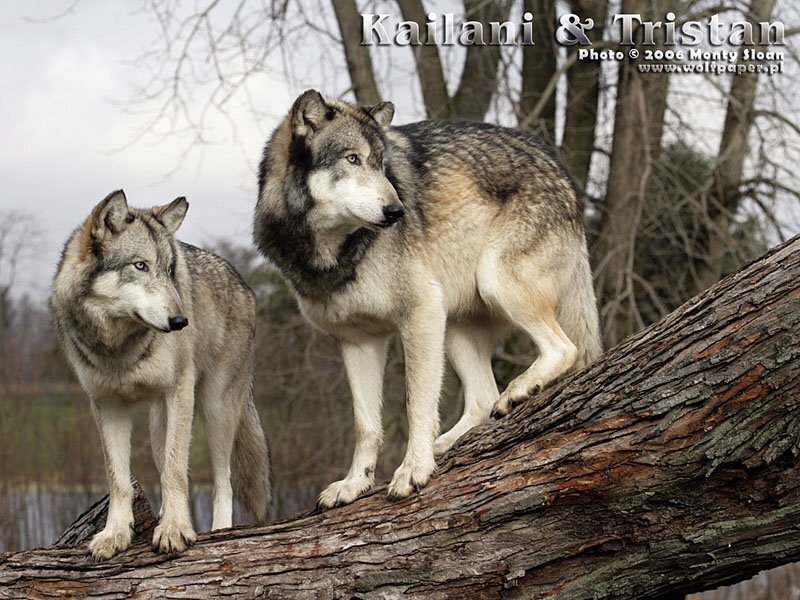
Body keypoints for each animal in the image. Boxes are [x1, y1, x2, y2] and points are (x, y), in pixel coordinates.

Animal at [51, 190, 271, 559]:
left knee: (222, 479)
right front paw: (115, 534)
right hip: (158, 427)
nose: (182, 321)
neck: (119, 349)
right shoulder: (106, 405)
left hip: (215, 409)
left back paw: (218, 532)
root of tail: (242, 281)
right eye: (140, 266)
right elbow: (118, 478)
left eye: (170, 270)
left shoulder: (179, 392)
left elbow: (175, 472)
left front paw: (175, 530)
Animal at [254, 90, 602, 508]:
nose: (397, 211)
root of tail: (562, 171)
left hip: (492, 283)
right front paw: (355, 484)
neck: (331, 253)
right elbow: (365, 424)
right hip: (453, 326)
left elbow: (415, 402)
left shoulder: (419, 315)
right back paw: (446, 444)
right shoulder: (357, 341)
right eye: (352, 159)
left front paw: (413, 469)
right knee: (483, 398)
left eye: (383, 165)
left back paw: (517, 391)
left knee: (563, 350)